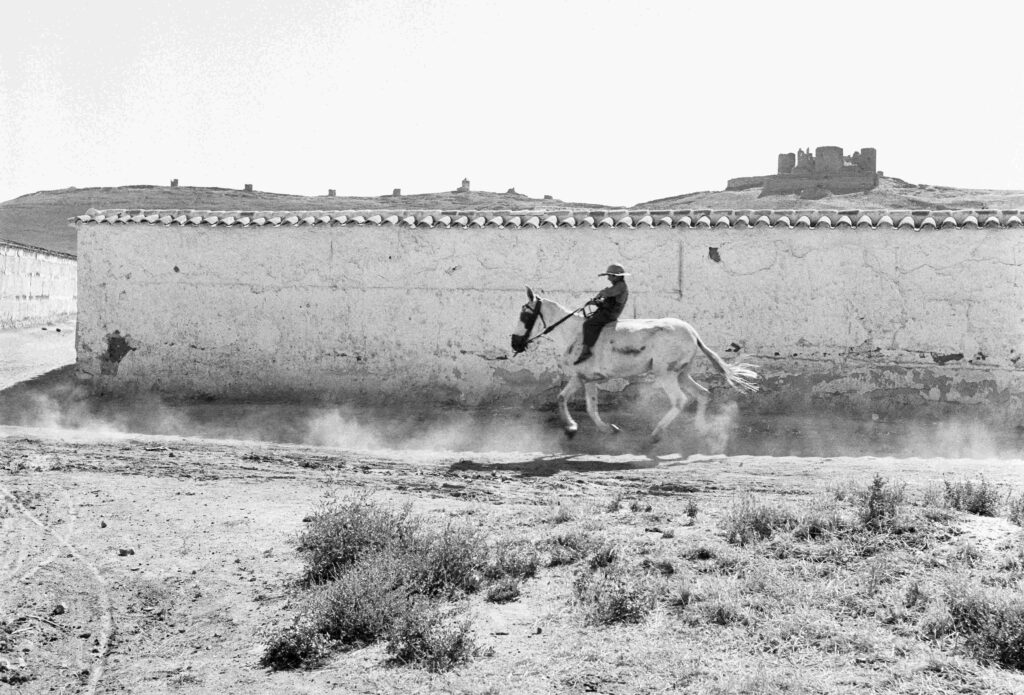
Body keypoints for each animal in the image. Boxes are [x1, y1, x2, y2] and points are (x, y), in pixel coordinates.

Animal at [507, 286, 757, 440]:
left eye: (525, 315)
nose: (515, 343)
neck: (573, 332)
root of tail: (692, 332)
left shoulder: (580, 377)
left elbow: (566, 399)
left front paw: (572, 428)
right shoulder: (587, 379)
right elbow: (586, 405)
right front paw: (605, 429)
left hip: (665, 374)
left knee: (680, 400)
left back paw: (656, 434)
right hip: (682, 373)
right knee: (703, 394)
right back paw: (701, 430)